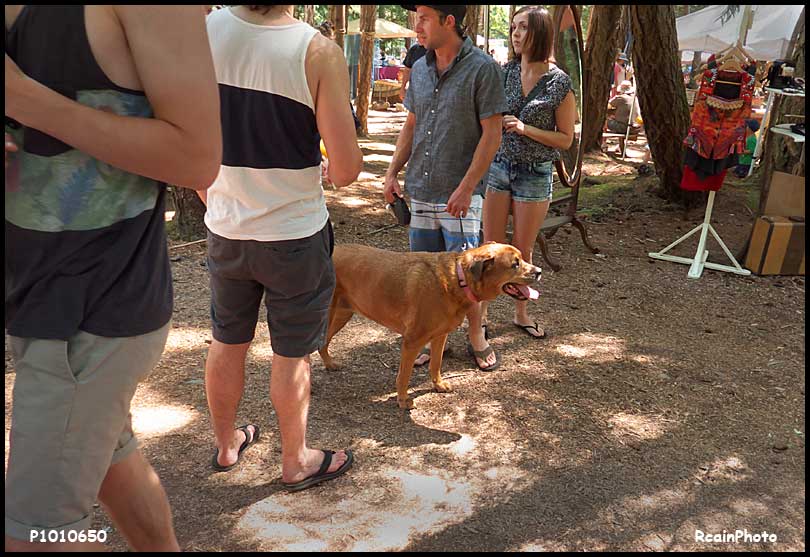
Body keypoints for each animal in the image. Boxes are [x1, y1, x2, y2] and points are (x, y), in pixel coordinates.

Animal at [318, 242, 540, 408]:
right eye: (515, 264)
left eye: (522, 259)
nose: (539, 271)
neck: (458, 281)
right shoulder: (411, 342)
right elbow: (404, 375)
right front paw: (402, 400)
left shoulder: (440, 336)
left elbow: (436, 364)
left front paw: (438, 385)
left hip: (342, 314)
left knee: (323, 344)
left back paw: (330, 364)